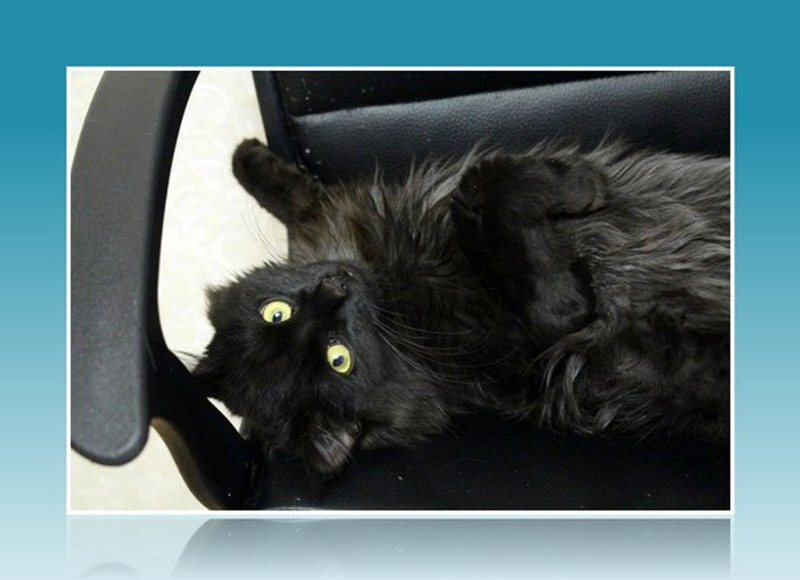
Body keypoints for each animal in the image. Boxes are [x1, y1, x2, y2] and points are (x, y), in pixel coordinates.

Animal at [193, 138, 730, 477]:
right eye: (338, 358)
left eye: (276, 311)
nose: (335, 290)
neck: (392, 293)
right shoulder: (549, 317)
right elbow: (478, 190)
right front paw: (578, 182)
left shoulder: (333, 227)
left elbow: (306, 199)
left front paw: (249, 157)